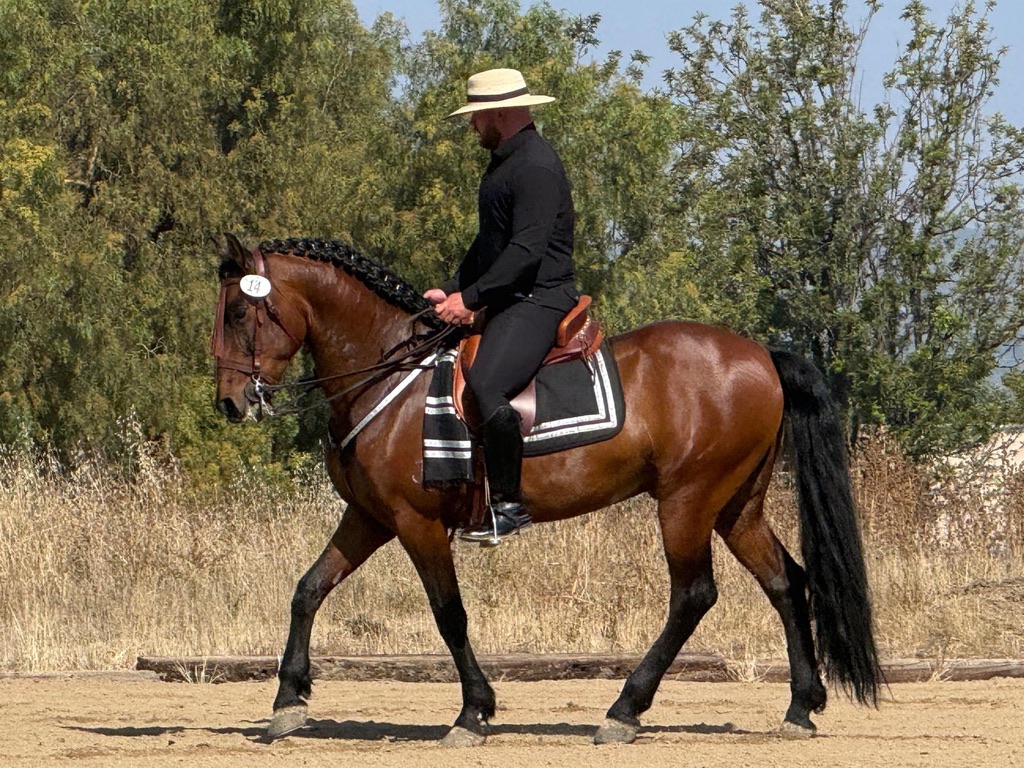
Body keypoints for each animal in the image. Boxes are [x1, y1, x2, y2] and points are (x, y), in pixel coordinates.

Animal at [211, 233, 882, 746]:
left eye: (240, 313)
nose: (229, 403)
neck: (389, 373)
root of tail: (761, 356)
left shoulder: (416, 523)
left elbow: (448, 613)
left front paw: (473, 712)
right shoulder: (370, 517)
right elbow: (308, 589)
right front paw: (287, 701)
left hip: (687, 503)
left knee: (694, 595)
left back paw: (624, 711)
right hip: (736, 507)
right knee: (785, 582)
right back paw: (800, 708)